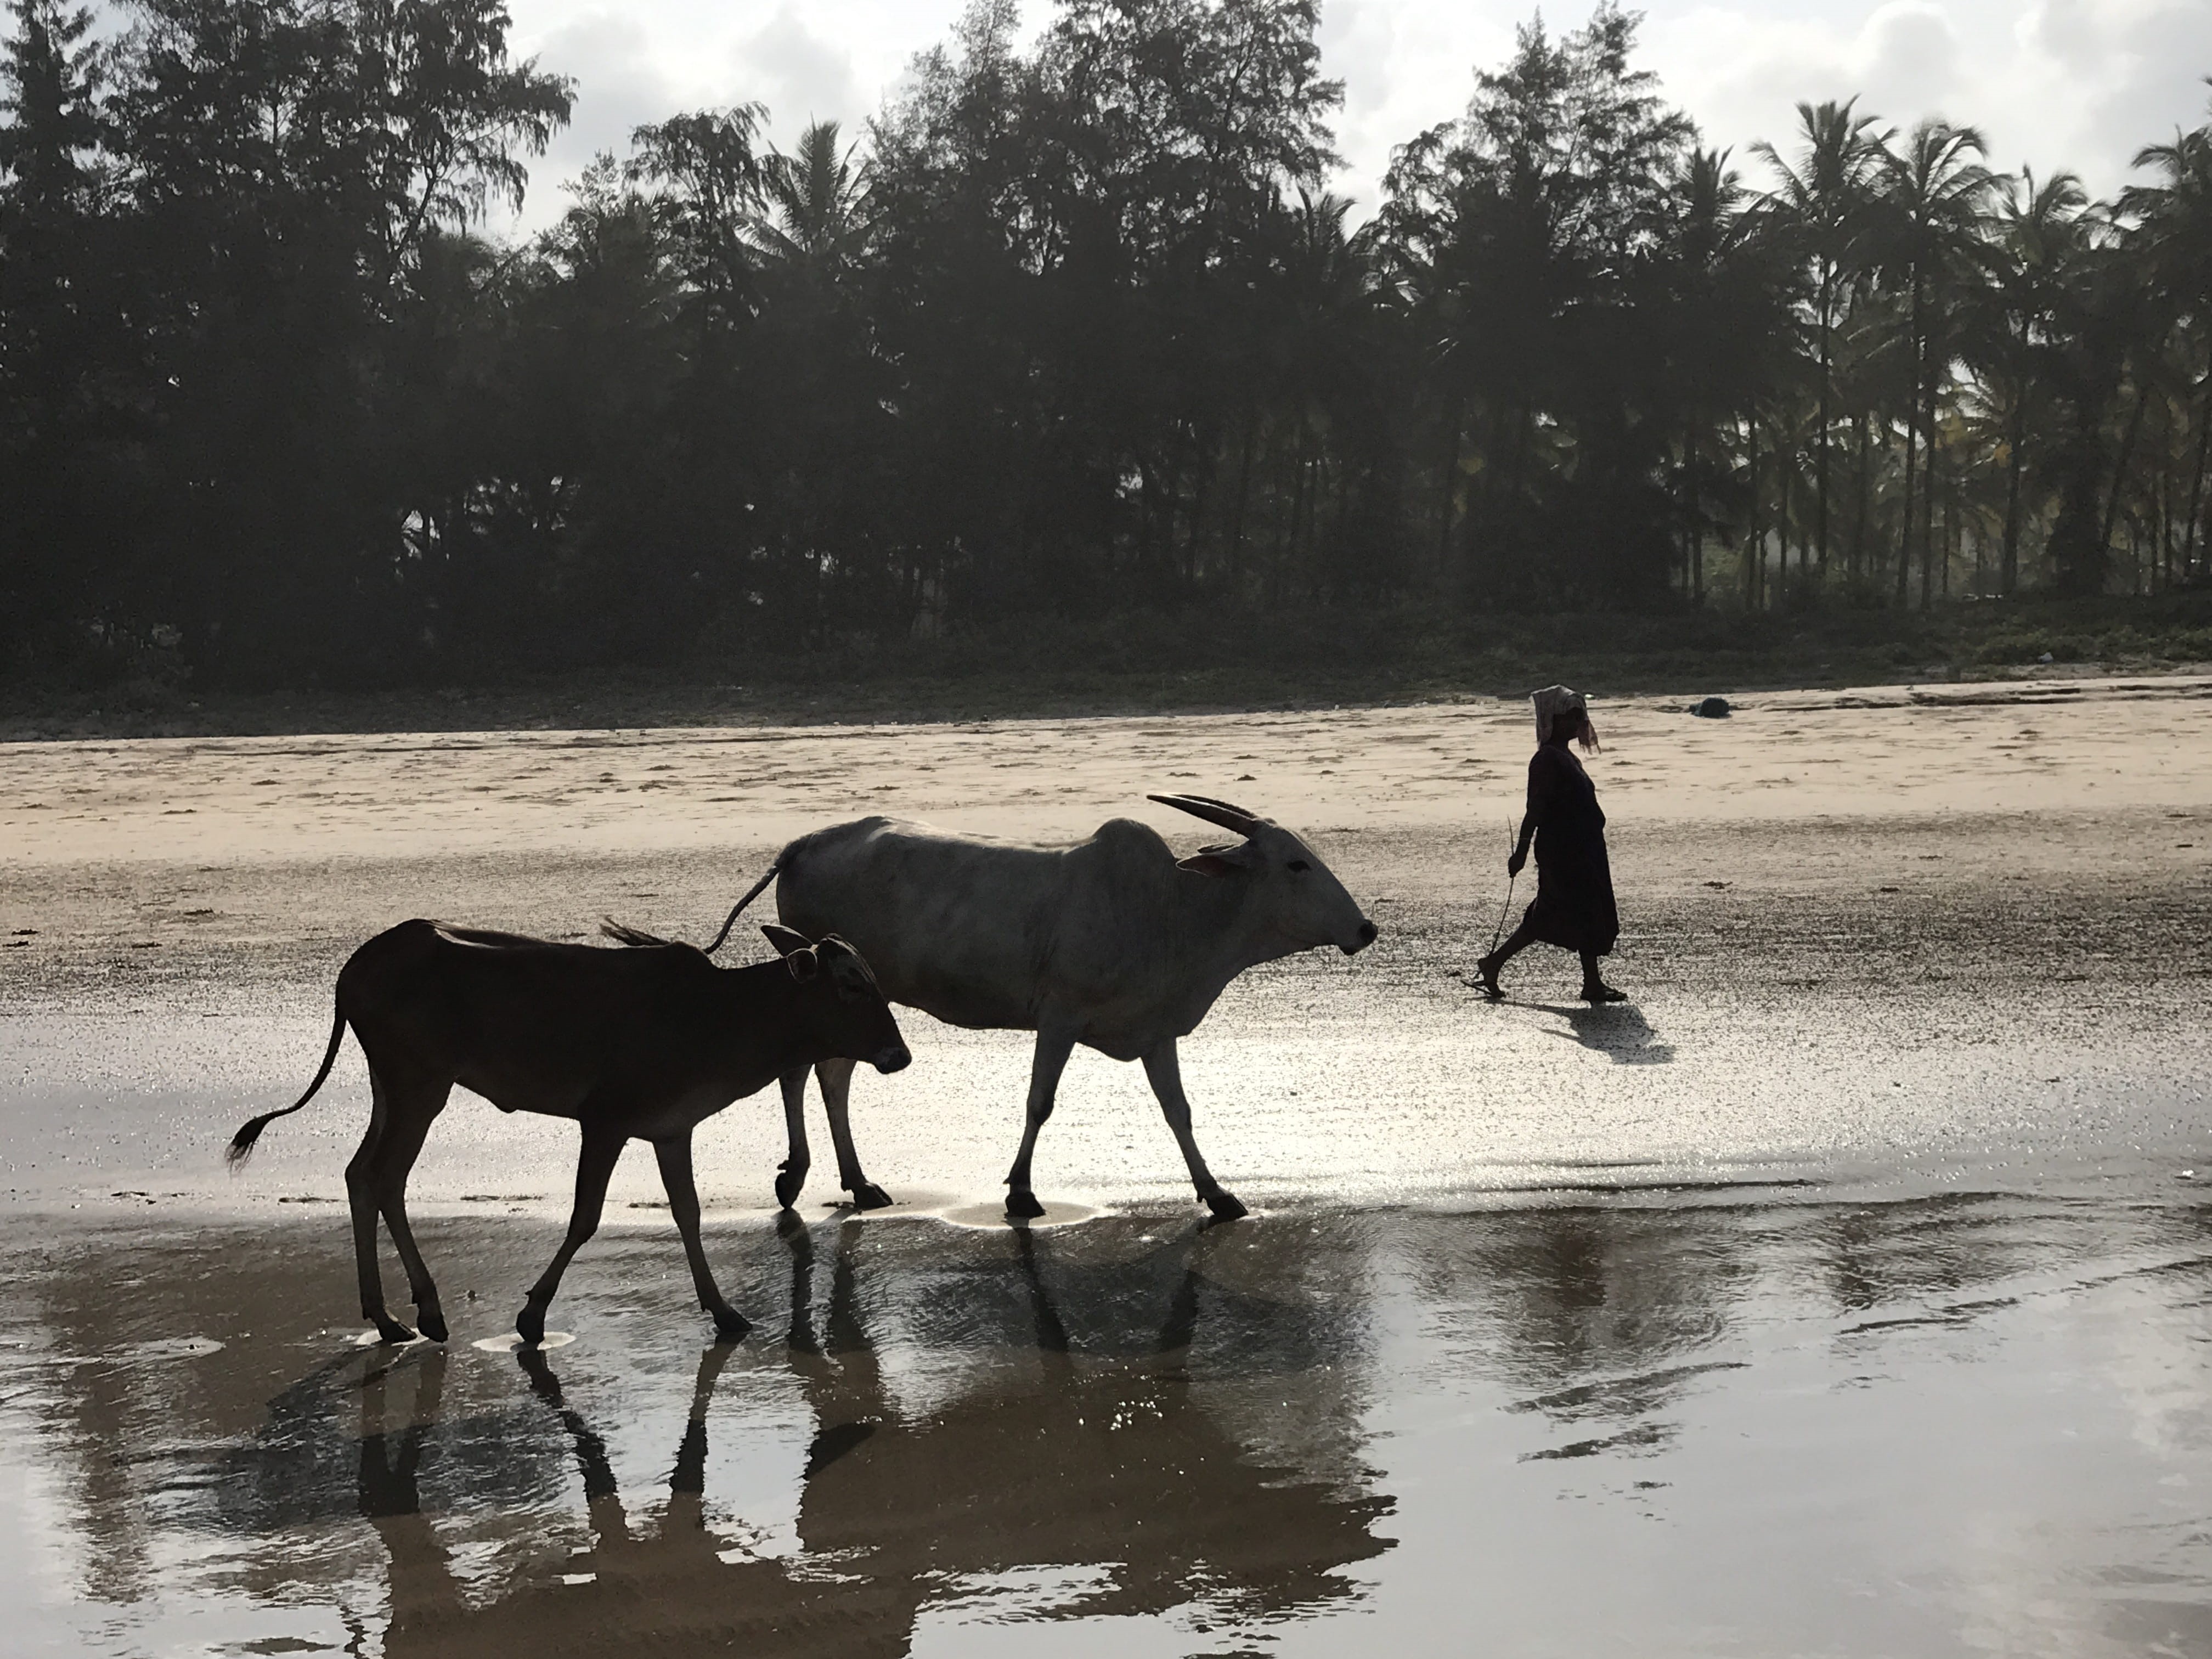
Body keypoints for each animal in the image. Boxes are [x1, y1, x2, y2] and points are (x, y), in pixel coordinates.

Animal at [225, 919, 910, 1346]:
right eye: (852, 984)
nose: (899, 1055)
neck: (720, 1016)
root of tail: (358, 965)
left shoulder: (671, 1130)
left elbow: (687, 1214)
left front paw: (723, 1311)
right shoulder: (605, 1123)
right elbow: (584, 1217)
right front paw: (532, 1316)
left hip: (390, 1088)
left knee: (361, 1175)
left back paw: (390, 1315)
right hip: (421, 1087)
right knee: (386, 1177)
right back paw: (420, 1310)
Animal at [704, 793, 1377, 1221]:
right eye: (1296, 864)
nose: (1365, 929)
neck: (1172, 911)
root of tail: (802, 844)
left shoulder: (1155, 1033)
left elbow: (1179, 1113)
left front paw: (1217, 1194)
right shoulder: (1060, 1019)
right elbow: (1040, 1103)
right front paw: (1020, 1192)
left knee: (833, 1077)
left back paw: (860, 1183)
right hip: (825, 993)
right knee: (801, 1074)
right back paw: (798, 1174)